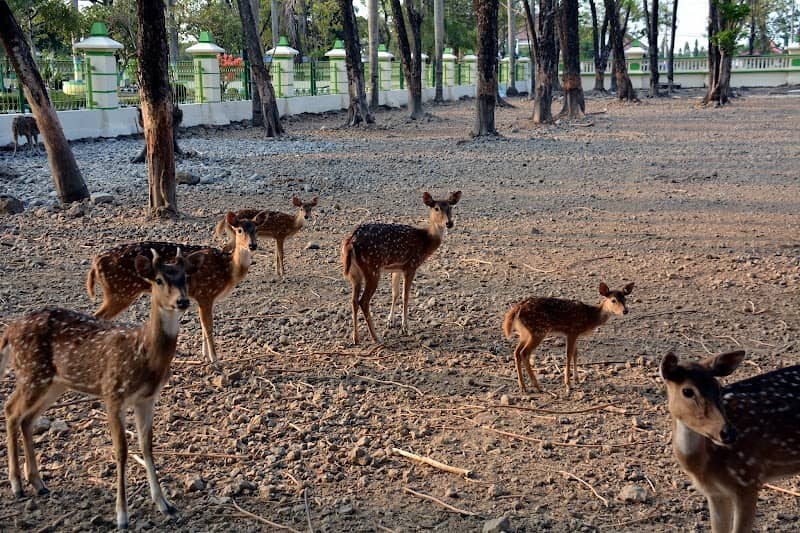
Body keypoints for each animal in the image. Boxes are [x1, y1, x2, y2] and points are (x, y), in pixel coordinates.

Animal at [0, 248, 204, 530]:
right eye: (159, 280)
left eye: (185, 277)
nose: (182, 301)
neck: (145, 354)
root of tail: (9, 332)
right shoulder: (112, 393)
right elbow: (121, 451)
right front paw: (122, 516)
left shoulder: (147, 399)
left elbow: (147, 446)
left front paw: (165, 505)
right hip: (32, 374)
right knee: (11, 410)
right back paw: (17, 485)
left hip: (54, 383)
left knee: (26, 418)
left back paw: (39, 483)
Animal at [86, 212, 265, 368]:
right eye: (239, 230)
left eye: (256, 229)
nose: (252, 245)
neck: (228, 270)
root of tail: (96, 263)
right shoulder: (206, 293)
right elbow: (208, 326)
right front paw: (215, 360)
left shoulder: (200, 296)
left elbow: (203, 325)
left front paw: (205, 356)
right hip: (120, 292)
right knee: (97, 317)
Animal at [341, 191, 461, 344]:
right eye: (436, 208)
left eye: (450, 207)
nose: (449, 223)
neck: (426, 241)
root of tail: (350, 242)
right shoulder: (411, 265)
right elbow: (405, 295)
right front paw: (405, 327)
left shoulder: (396, 268)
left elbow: (395, 293)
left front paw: (390, 321)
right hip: (372, 268)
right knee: (364, 301)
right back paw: (376, 337)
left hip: (354, 273)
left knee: (353, 301)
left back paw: (356, 338)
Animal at [503, 282, 634, 393]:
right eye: (613, 300)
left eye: (625, 299)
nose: (625, 311)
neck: (590, 318)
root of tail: (516, 309)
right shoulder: (572, 331)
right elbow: (569, 354)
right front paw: (568, 384)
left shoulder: (576, 334)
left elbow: (576, 354)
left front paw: (577, 379)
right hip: (538, 331)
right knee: (524, 352)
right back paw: (537, 386)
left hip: (524, 332)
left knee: (516, 351)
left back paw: (522, 386)